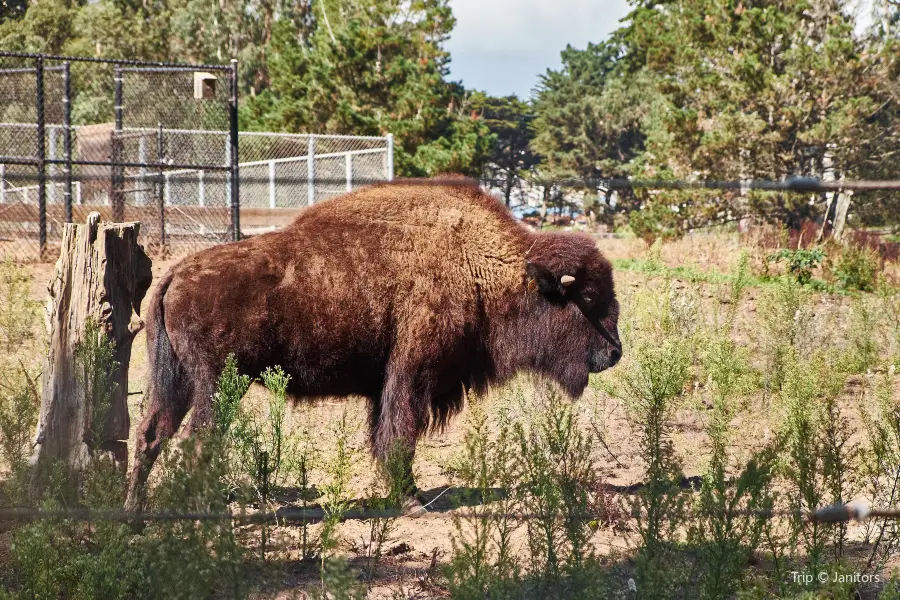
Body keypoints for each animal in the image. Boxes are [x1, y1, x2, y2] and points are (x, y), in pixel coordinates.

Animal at [123, 178, 624, 510]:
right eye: (588, 299)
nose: (615, 353)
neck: (481, 269)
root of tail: (175, 273)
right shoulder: (412, 375)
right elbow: (400, 435)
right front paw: (411, 501)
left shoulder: (388, 385)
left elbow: (385, 434)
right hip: (216, 385)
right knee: (195, 441)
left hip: (177, 380)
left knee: (152, 434)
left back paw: (135, 514)